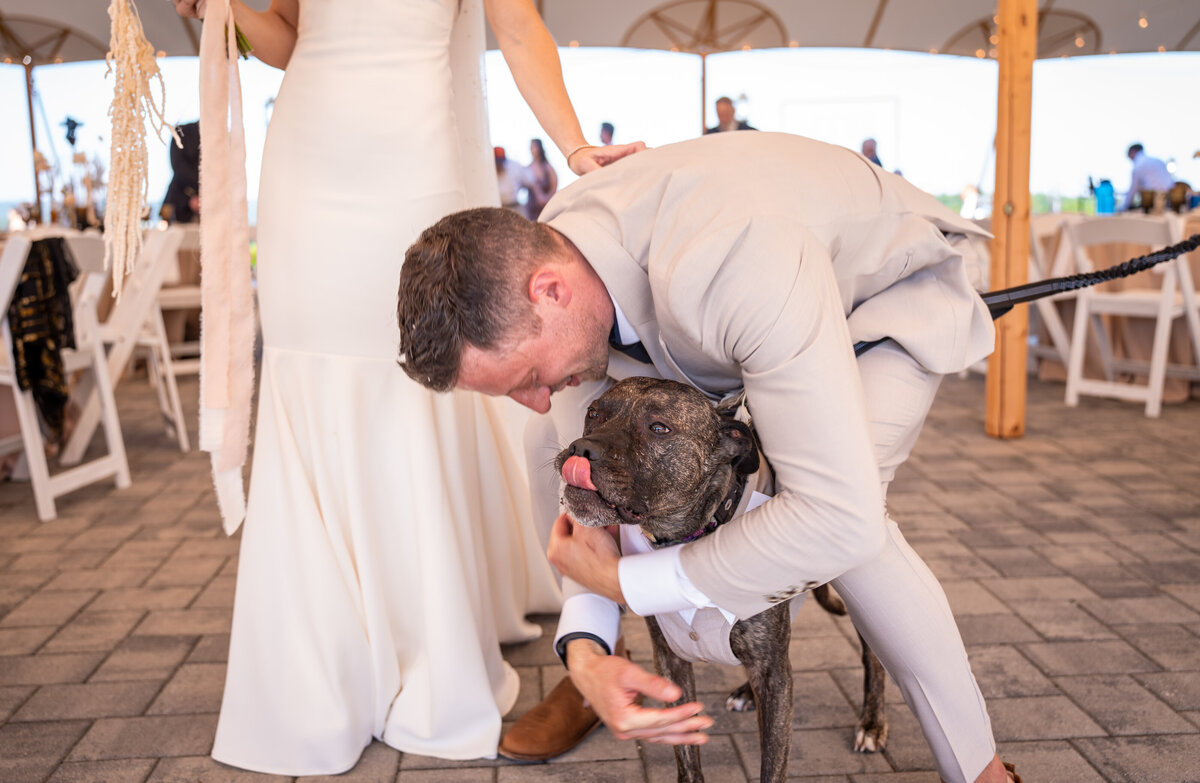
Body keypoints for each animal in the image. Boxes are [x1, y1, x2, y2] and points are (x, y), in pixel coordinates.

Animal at [556, 377, 888, 778]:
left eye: (658, 428)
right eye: (593, 413)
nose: (581, 447)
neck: (691, 536)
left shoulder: (774, 678)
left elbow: (772, 765)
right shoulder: (671, 662)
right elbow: (686, 757)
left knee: (874, 655)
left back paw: (872, 723)